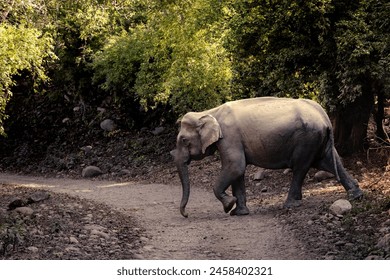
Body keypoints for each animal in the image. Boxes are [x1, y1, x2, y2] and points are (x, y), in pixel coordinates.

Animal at [171, 97, 362, 218]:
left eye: (183, 140)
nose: (186, 215)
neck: (210, 112)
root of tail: (324, 115)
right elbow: (238, 171)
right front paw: (238, 213)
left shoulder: (229, 137)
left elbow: (235, 166)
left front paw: (228, 205)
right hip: (318, 140)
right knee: (328, 162)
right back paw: (356, 195)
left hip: (307, 139)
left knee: (301, 167)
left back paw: (290, 205)